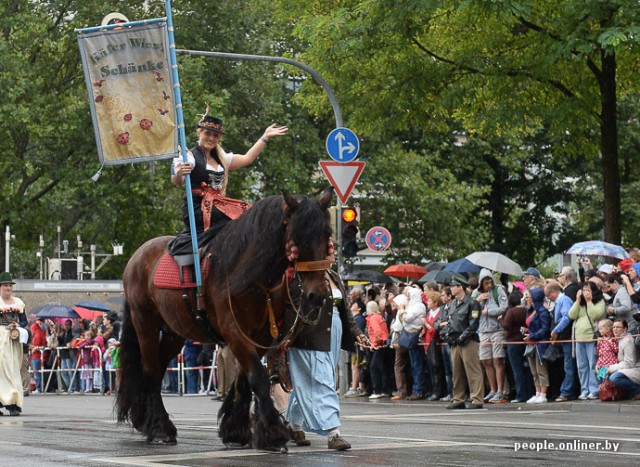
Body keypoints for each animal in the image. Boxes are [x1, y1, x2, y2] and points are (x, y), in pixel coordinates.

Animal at [116, 188, 336, 452]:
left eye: (327, 234)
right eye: (297, 236)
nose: (317, 295)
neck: (249, 273)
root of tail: (136, 257)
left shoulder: (259, 335)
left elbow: (244, 380)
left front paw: (236, 431)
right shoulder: (234, 332)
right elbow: (258, 378)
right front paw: (274, 433)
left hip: (174, 333)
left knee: (157, 369)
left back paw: (147, 420)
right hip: (145, 323)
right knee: (149, 368)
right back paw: (159, 428)